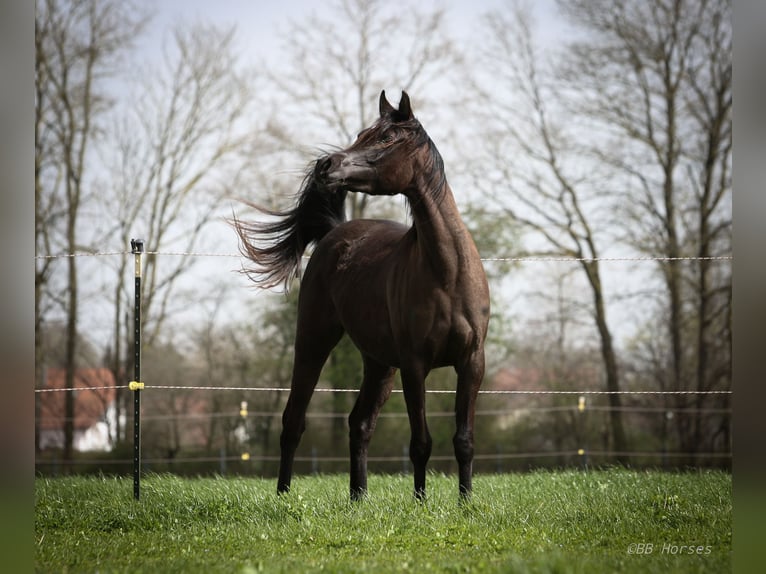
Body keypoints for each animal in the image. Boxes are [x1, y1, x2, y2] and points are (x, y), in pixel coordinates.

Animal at [236, 91, 492, 500]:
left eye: (386, 138)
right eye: (361, 134)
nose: (326, 164)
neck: (448, 273)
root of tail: (335, 232)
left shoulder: (472, 363)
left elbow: (464, 441)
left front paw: (465, 503)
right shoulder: (415, 366)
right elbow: (421, 443)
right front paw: (421, 503)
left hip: (378, 363)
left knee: (359, 423)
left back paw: (358, 498)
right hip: (314, 341)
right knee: (294, 421)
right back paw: (284, 496)